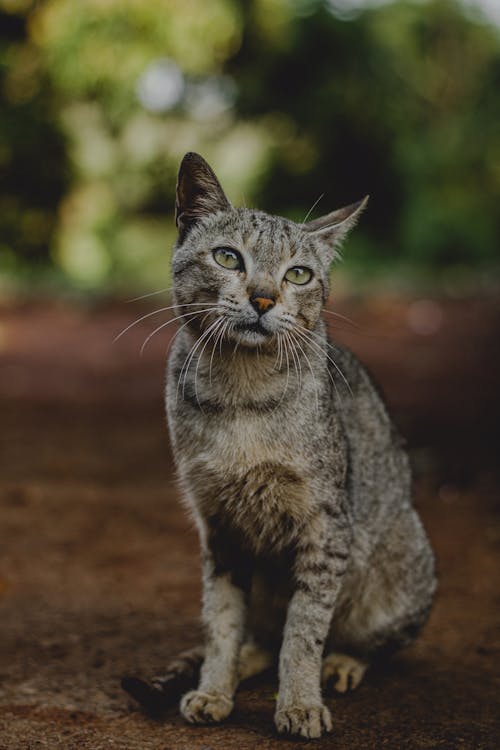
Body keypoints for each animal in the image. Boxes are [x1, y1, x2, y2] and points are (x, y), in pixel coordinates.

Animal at [123, 151, 436, 740]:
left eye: (298, 274)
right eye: (228, 257)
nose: (264, 298)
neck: (242, 393)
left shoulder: (326, 525)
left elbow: (305, 628)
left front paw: (300, 704)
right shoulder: (219, 526)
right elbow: (221, 621)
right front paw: (214, 686)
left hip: (404, 566)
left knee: (361, 641)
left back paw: (342, 664)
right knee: (261, 637)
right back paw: (233, 666)